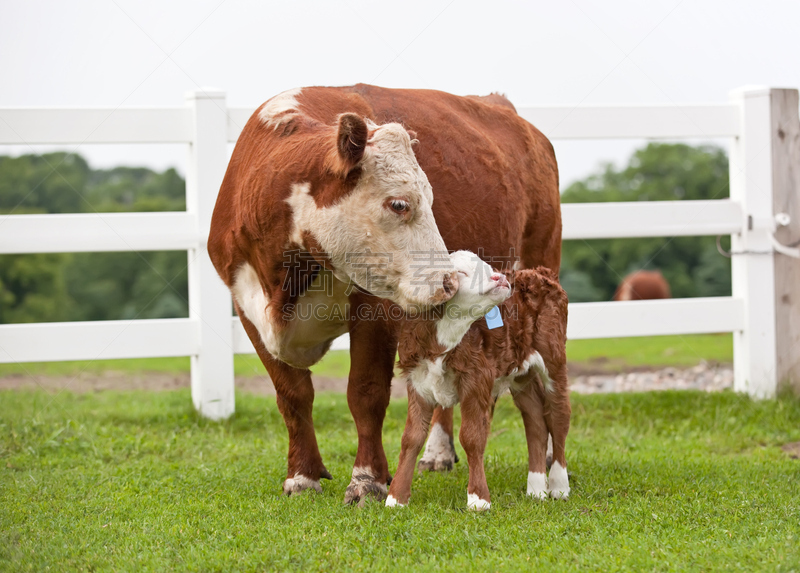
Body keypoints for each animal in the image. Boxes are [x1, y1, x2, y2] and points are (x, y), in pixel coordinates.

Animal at [386, 251, 568, 510]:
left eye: (488, 266)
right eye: (461, 273)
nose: (499, 276)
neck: (443, 339)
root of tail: (538, 272)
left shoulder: (476, 379)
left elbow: (471, 436)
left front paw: (478, 499)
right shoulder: (417, 381)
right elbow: (411, 437)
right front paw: (396, 498)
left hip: (553, 359)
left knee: (558, 416)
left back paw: (559, 486)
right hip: (521, 374)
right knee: (536, 421)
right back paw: (535, 489)